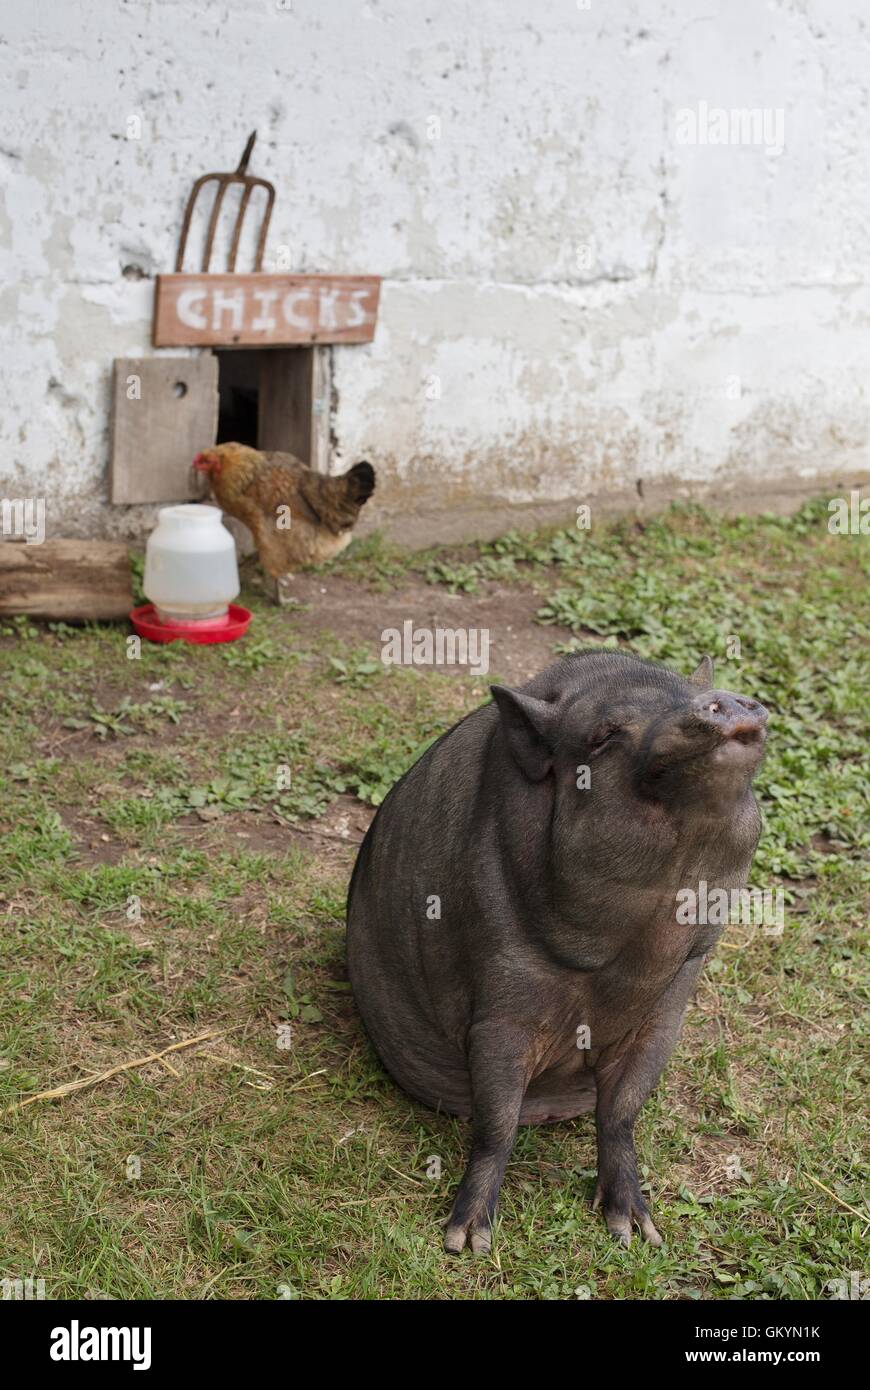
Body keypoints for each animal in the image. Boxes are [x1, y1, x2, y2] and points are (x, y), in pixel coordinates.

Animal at [346, 647, 767, 1251]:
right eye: (605, 734)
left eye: (687, 690)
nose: (725, 700)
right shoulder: (501, 1002)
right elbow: (496, 1121)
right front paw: (467, 1241)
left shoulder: (671, 1000)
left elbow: (622, 1110)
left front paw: (635, 1234)